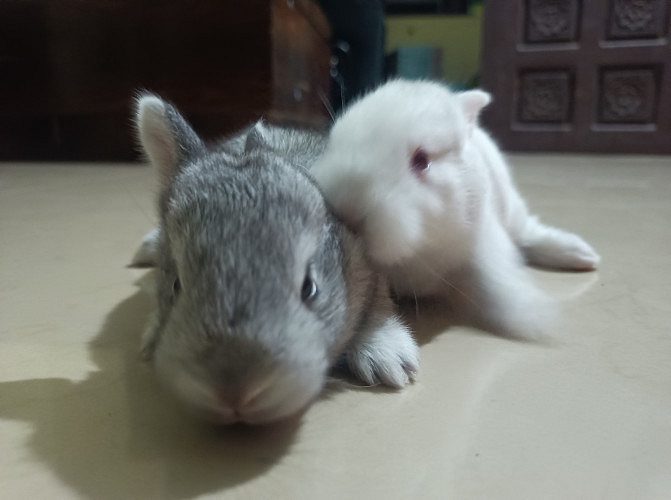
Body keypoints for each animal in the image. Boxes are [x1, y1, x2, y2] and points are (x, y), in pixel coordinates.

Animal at [133, 95, 418, 425]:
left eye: (310, 288)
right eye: (176, 285)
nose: (234, 389)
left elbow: (377, 302)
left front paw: (389, 357)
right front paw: (151, 336)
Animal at [310, 79, 601, 338]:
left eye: (422, 160)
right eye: (335, 141)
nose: (347, 209)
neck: (419, 249)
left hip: (512, 210)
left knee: (529, 233)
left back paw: (582, 256)